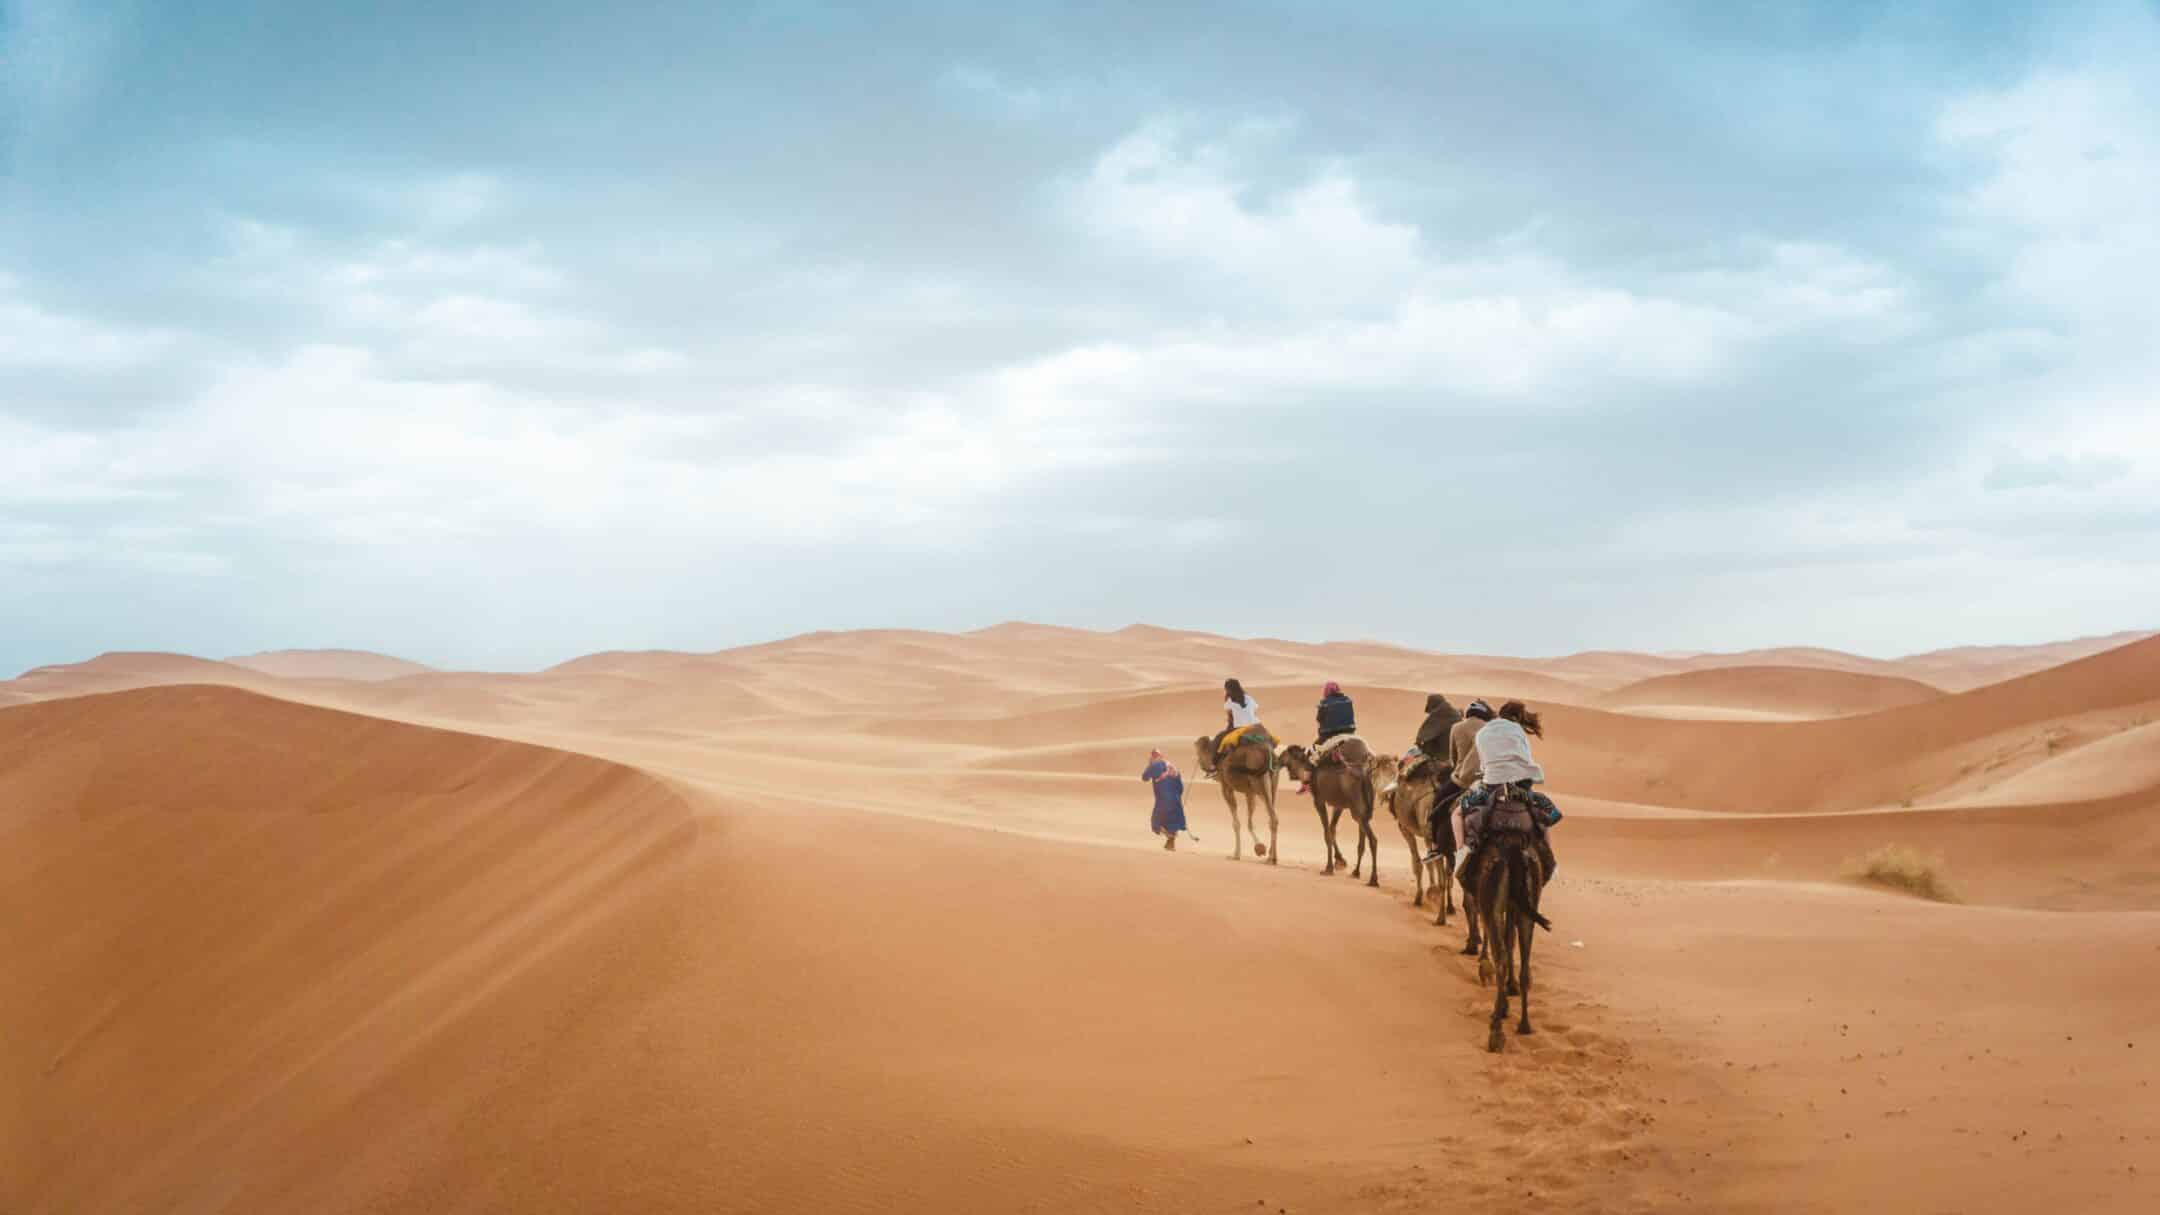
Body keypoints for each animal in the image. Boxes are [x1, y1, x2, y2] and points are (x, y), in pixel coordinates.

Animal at [1192, 726, 1270, 860]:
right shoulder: (1249, 792)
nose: (1203, 766)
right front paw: (1259, 848)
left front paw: (1237, 854)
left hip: (1256, 783)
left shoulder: (1226, 787)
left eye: (1198, 753)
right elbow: (1249, 822)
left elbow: (1236, 823)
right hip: (1262, 784)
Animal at [1278, 735, 1382, 886]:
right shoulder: (1339, 805)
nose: (1278, 758)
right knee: (1362, 841)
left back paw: (1373, 879)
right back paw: (1356, 872)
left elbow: (1327, 833)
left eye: (1287, 753)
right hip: (1361, 809)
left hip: (1357, 809)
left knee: (1372, 840)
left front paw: (1328, 868)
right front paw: (1340, 861)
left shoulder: (1319, 801)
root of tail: (1364, 774)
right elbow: (1332, 830)